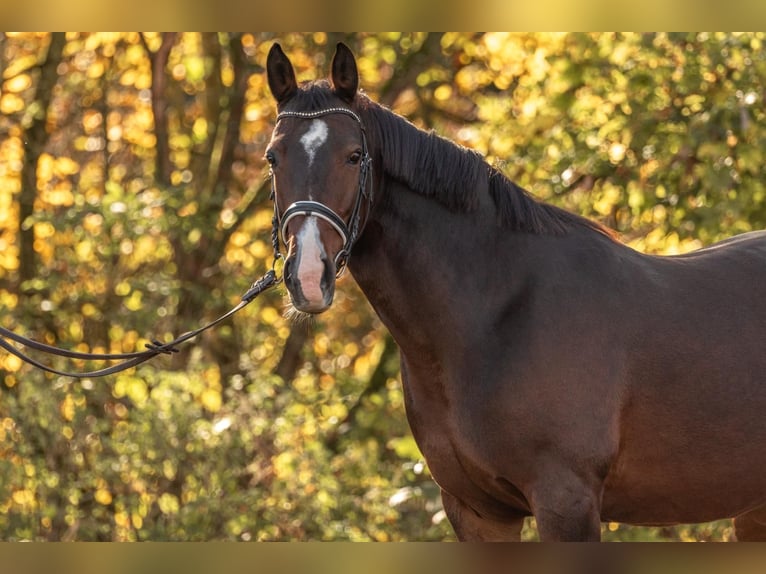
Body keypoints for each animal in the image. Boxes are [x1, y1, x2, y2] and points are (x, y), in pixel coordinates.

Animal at [264, 42, 766, 541]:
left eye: (353, 155)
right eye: (273, 157)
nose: (308, 274)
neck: (495, 316)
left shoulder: (565, 500)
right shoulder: (477, 511)